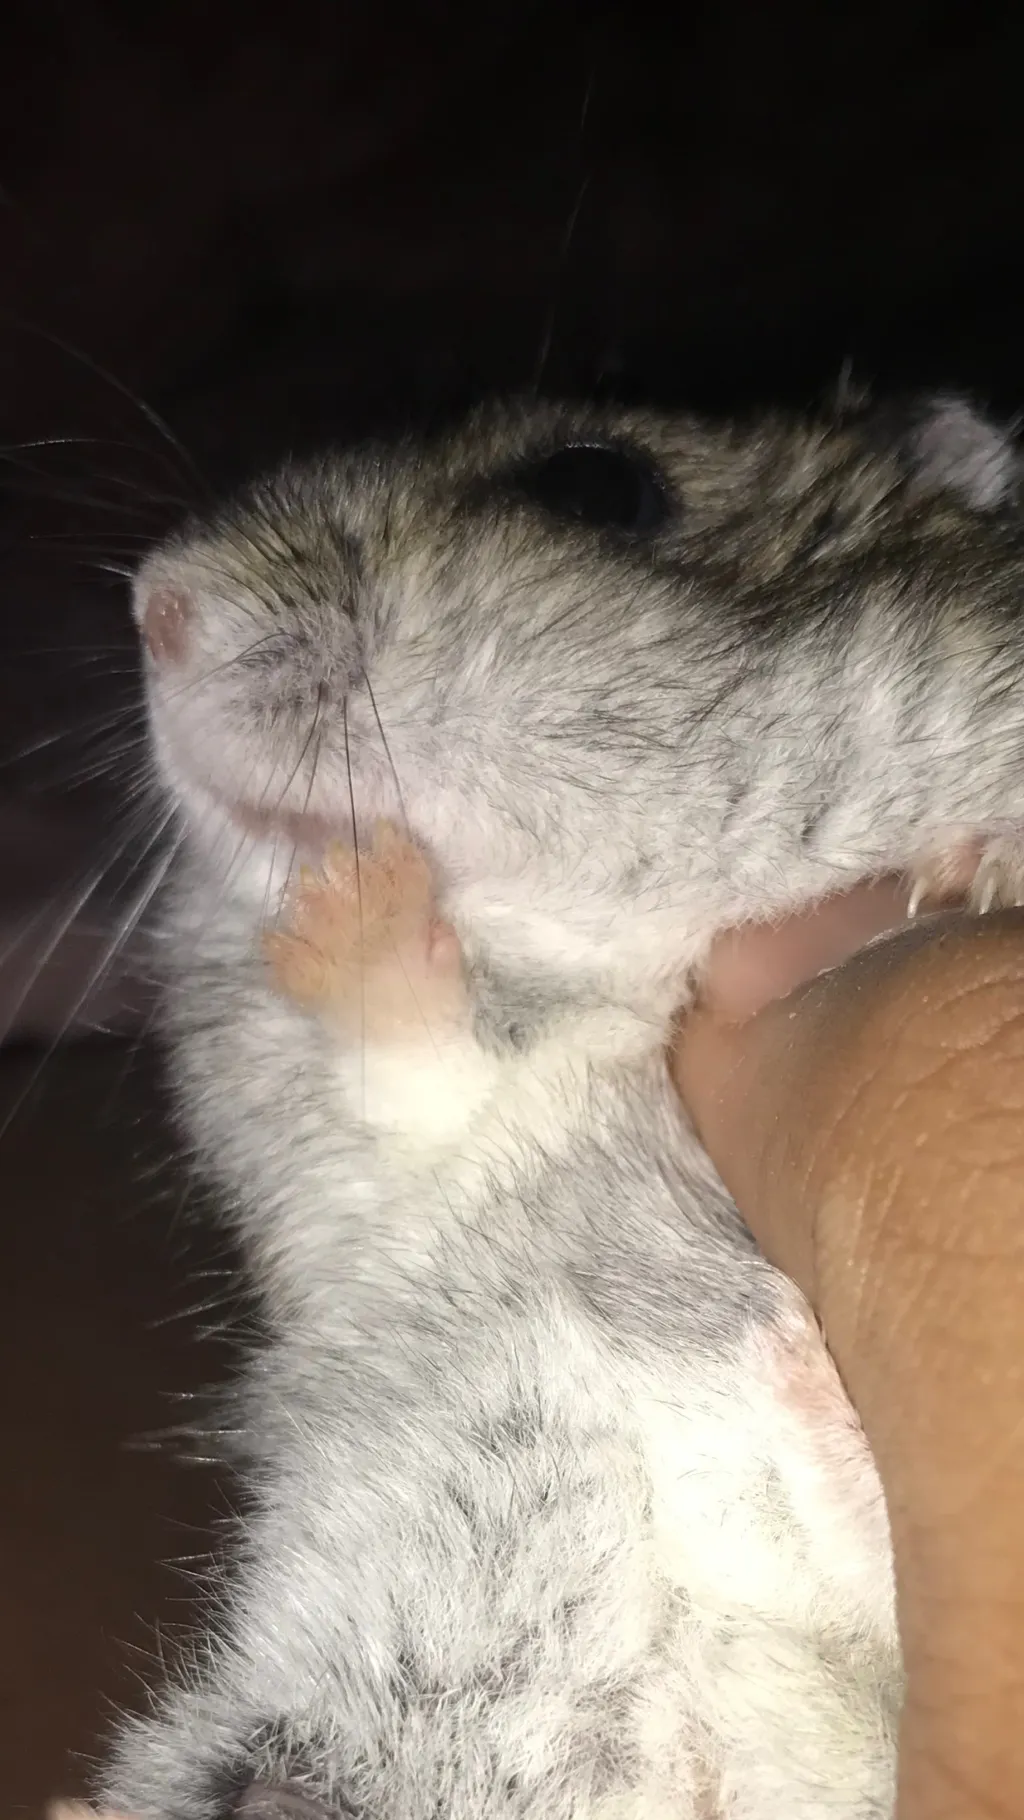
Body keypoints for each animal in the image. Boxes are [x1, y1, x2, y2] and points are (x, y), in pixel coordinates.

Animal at [97, 391, 1024, 1819]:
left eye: (596, 486)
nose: (156, 602)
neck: (608, 966)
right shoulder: (416, 1146)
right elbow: (421, 1071)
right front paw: (345, 905)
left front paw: (957, 876)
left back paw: (797, 1368)